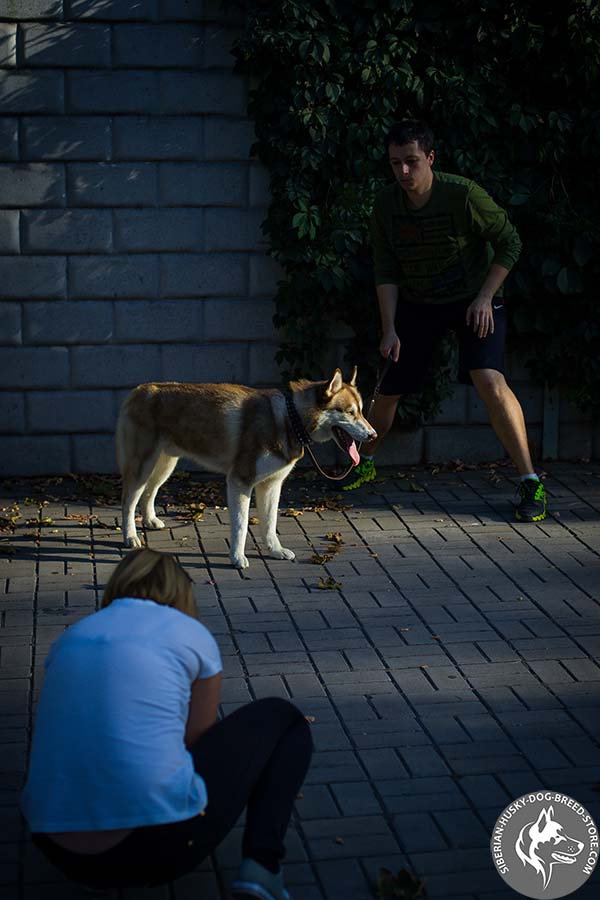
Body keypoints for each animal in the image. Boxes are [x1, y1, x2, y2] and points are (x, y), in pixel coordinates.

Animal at [116, 368, 376, 568]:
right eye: (350, 412)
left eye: (362, 412)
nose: (373, 435)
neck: (288, 419)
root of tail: (139, 389)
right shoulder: (240, 482)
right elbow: (241, 528)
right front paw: (237, 558)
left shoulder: (271, 485)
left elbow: (270, 524)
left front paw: (275, 551)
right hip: (142, 466)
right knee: (128, 500)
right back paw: (130, 536)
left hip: (164, 466)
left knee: (149, 493)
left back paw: (150, 521)